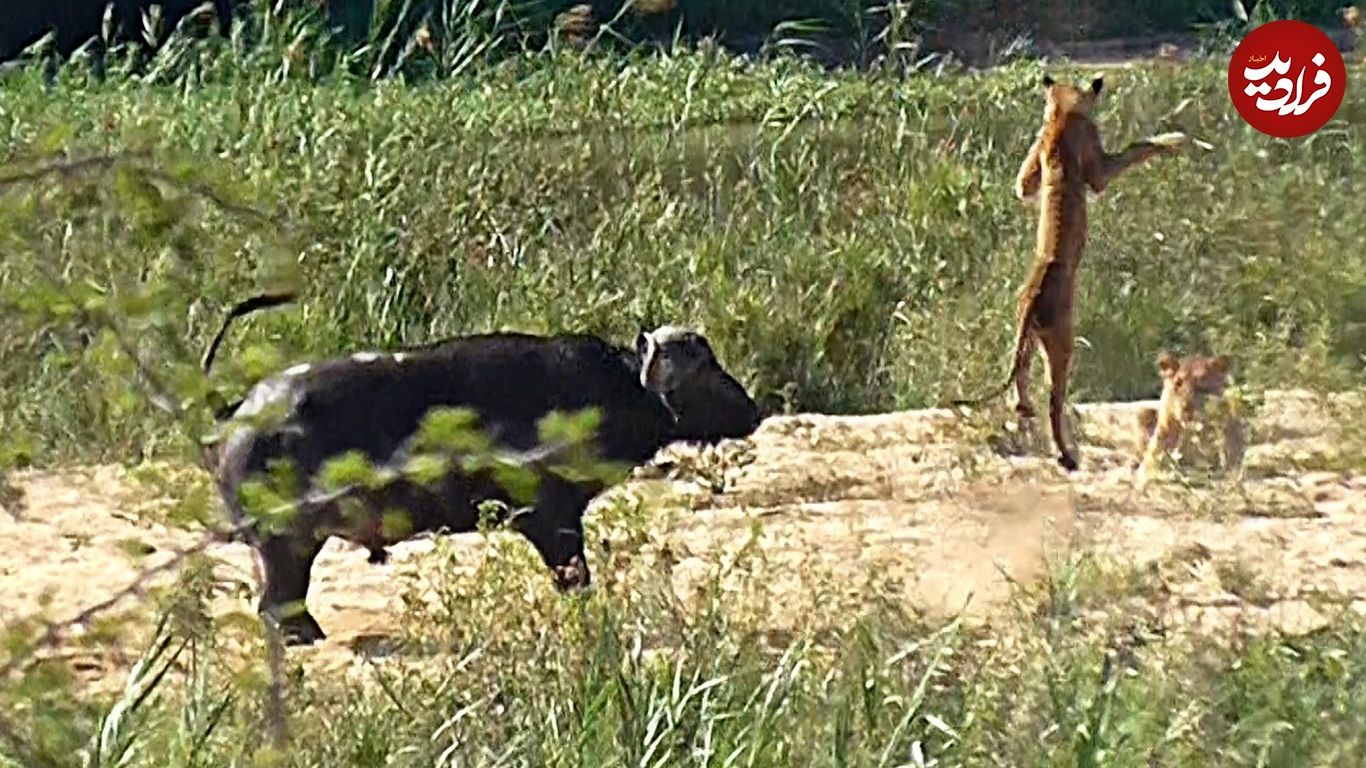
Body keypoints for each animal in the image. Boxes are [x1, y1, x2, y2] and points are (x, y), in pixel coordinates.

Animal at [202, 296, 764, 642]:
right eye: (704, 367)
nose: (753, 411)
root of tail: (235, 413)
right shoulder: (552, 519)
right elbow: (575, 575)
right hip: (285, 542)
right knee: (276, 603)